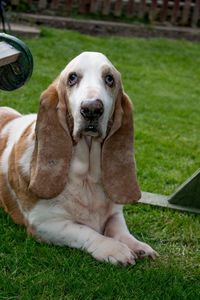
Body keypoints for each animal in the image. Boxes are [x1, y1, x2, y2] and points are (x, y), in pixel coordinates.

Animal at [0, 51, 158, 264]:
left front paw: (138, 246)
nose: (92, 109)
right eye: (72, 78)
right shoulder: (43, 223)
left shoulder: (115, 213)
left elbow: (119, 229)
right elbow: (83, 230)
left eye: (110, 79)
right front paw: (113, 248)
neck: (86, 177)